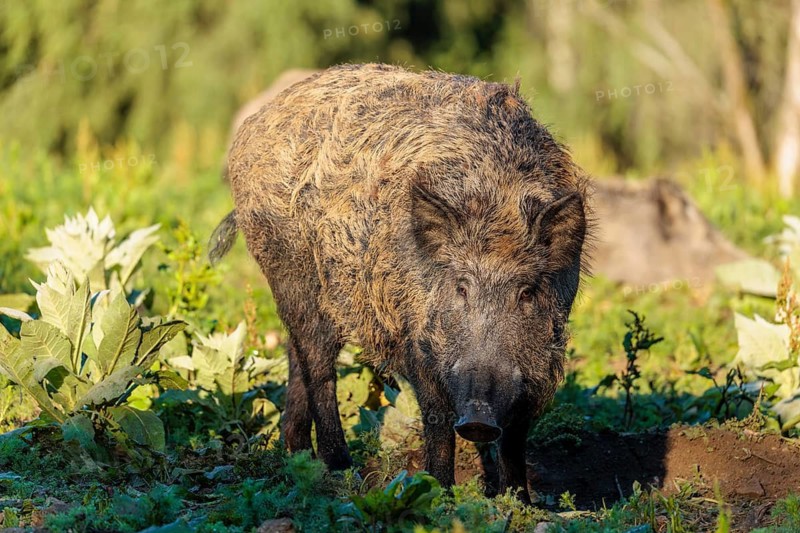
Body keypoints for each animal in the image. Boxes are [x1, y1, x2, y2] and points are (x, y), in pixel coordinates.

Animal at [210, 63, 591, 502]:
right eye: (461, 287)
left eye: (527, 292)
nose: (478, 418)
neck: (498, 203)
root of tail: (254, 124)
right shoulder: (419, 338)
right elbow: (437, 420)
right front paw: (440, 494)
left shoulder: (541, 362)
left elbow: (515, 435)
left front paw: (518, 501)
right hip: (290, 272)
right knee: (318, 365)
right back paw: (341, 470)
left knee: (296, 357)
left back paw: (297, 457)